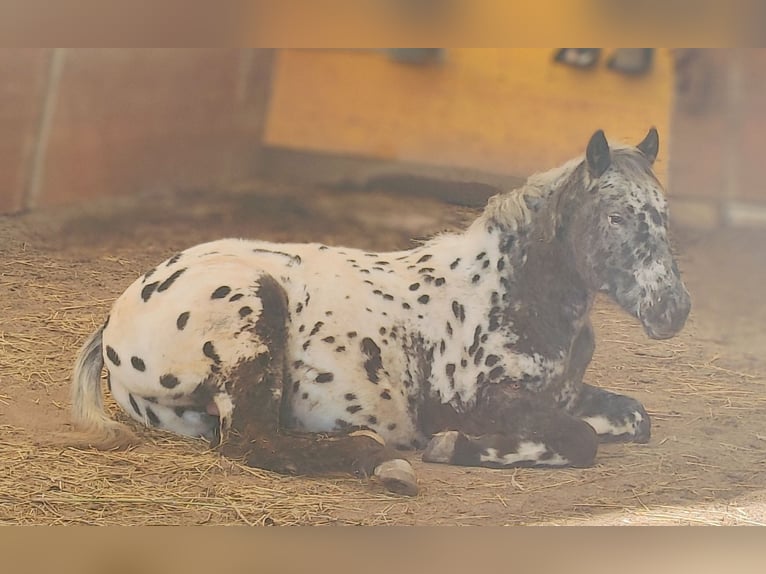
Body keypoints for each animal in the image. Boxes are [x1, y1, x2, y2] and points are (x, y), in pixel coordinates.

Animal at [66, 128, 692, 498]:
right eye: (616, 217)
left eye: (663, 214)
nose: (673, 310)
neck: (507, 292)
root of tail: (116, 322)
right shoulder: (481, 404)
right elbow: (579, 440)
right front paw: (455, 449)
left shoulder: (559, 395)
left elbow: (633, 418)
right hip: (256, 310)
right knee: (254, 445)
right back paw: (383, 462)